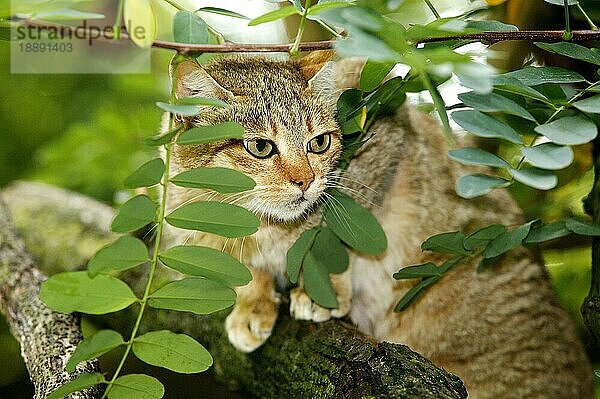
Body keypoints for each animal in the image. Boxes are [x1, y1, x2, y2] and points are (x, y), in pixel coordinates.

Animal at [165, 54, 596, 399]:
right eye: (260, 147)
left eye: (319, 143)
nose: (305, 181)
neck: (256, 222)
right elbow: (245, 272)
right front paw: (252, 304)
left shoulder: (387, 120)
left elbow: (335, 233)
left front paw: (322, 287)